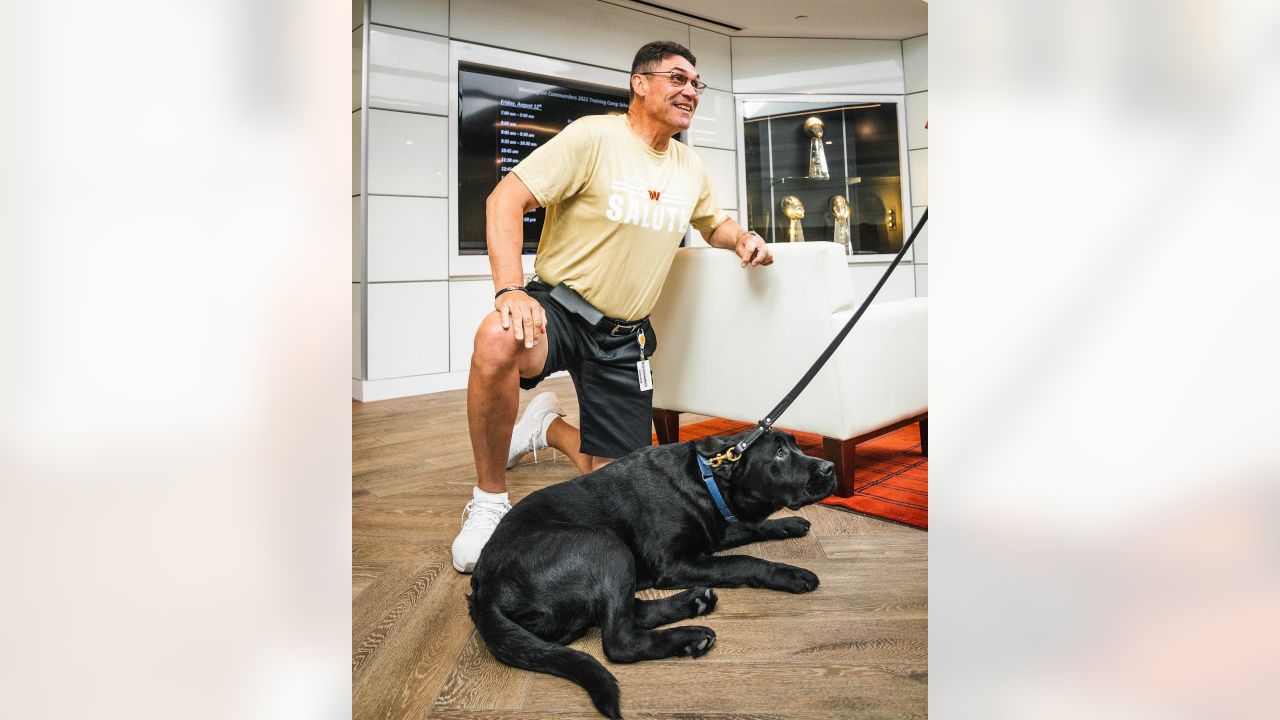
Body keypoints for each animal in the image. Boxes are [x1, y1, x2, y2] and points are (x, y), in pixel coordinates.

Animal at [465, 427, 834, 712]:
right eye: (780, 455)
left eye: (797, 446)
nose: (829, 467)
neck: (706, 479)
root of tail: (484, 588)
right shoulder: (676, 562)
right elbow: (743, 561)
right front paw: (791, 573)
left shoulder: (715, 532)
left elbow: (752, 526)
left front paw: (787, 524)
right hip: (605, 543)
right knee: (619, 639)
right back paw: (689, 636)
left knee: (628, 612)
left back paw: (693, 604)